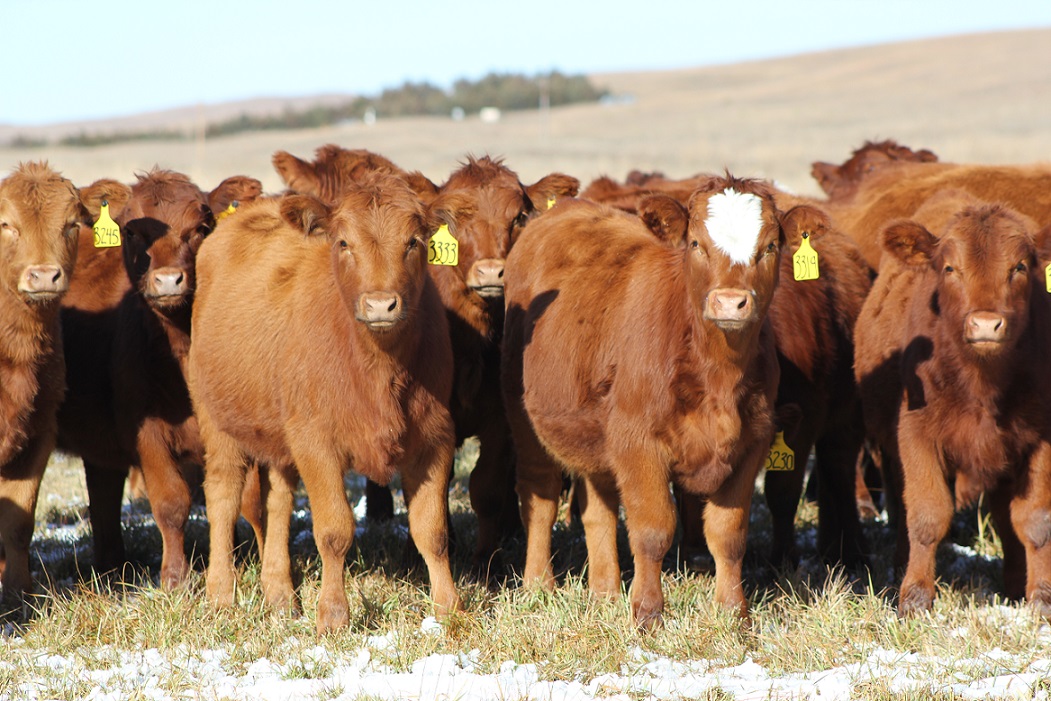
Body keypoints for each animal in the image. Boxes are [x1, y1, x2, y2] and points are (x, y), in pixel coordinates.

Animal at [58, 167, 262, 584]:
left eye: (201, 227)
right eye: (132, 231)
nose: (169, 280)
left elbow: (246, 502)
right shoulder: (145, 432)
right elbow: (171, 501)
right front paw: (175, 577)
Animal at [191, 172, 462, 634]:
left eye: (414, 241)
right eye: (343, 243)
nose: (380, 304)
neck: (378, 366)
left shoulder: (435, 438)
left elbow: (433, 532)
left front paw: (450, 609)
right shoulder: (316, 441)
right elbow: (334, 531)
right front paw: (333, 615)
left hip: (280, 434)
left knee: (278, 501)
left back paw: (281, 595)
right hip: (218, 421)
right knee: (223, 498)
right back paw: (220, 596)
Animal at [504, 175, 798, 626]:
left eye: (769, 247)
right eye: (695, 243)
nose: (730, 302)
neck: (717, 374)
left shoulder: (753, 442)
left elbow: (728, 535)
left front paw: (734, 613)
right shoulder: (637, 442)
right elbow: (653, 530)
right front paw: (647, 614)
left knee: (599, 510)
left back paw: (605, 593)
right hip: (526, 420)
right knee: (541, 496)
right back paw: (539, 584)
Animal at [857, 198, 1051, 613]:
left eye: (1019, 267)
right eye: (949, 268)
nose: (986, 324)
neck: (982, 384)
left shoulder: (1039, 439)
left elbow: (1034, 520)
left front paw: (1041, 597)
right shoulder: (915, 435)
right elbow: (926, 516)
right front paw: (915, 598)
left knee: (1003, 512)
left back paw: (1015, 584)